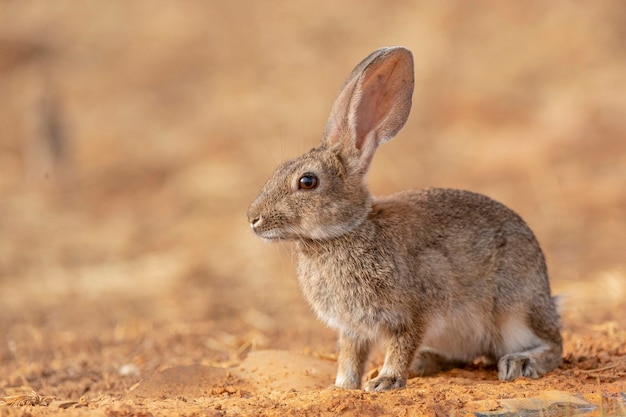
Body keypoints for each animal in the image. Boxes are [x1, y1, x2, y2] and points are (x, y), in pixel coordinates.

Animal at [247, 47, 560, 392]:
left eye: (307, 182)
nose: (253, 218)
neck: (345, 232)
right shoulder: (353, 328)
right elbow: (350, 357)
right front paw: (342, 386)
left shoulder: (414, 311)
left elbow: (400, 346)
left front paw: (385, 381)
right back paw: (426, 362)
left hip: (515, 312)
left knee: (553, 345)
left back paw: (520, 362)